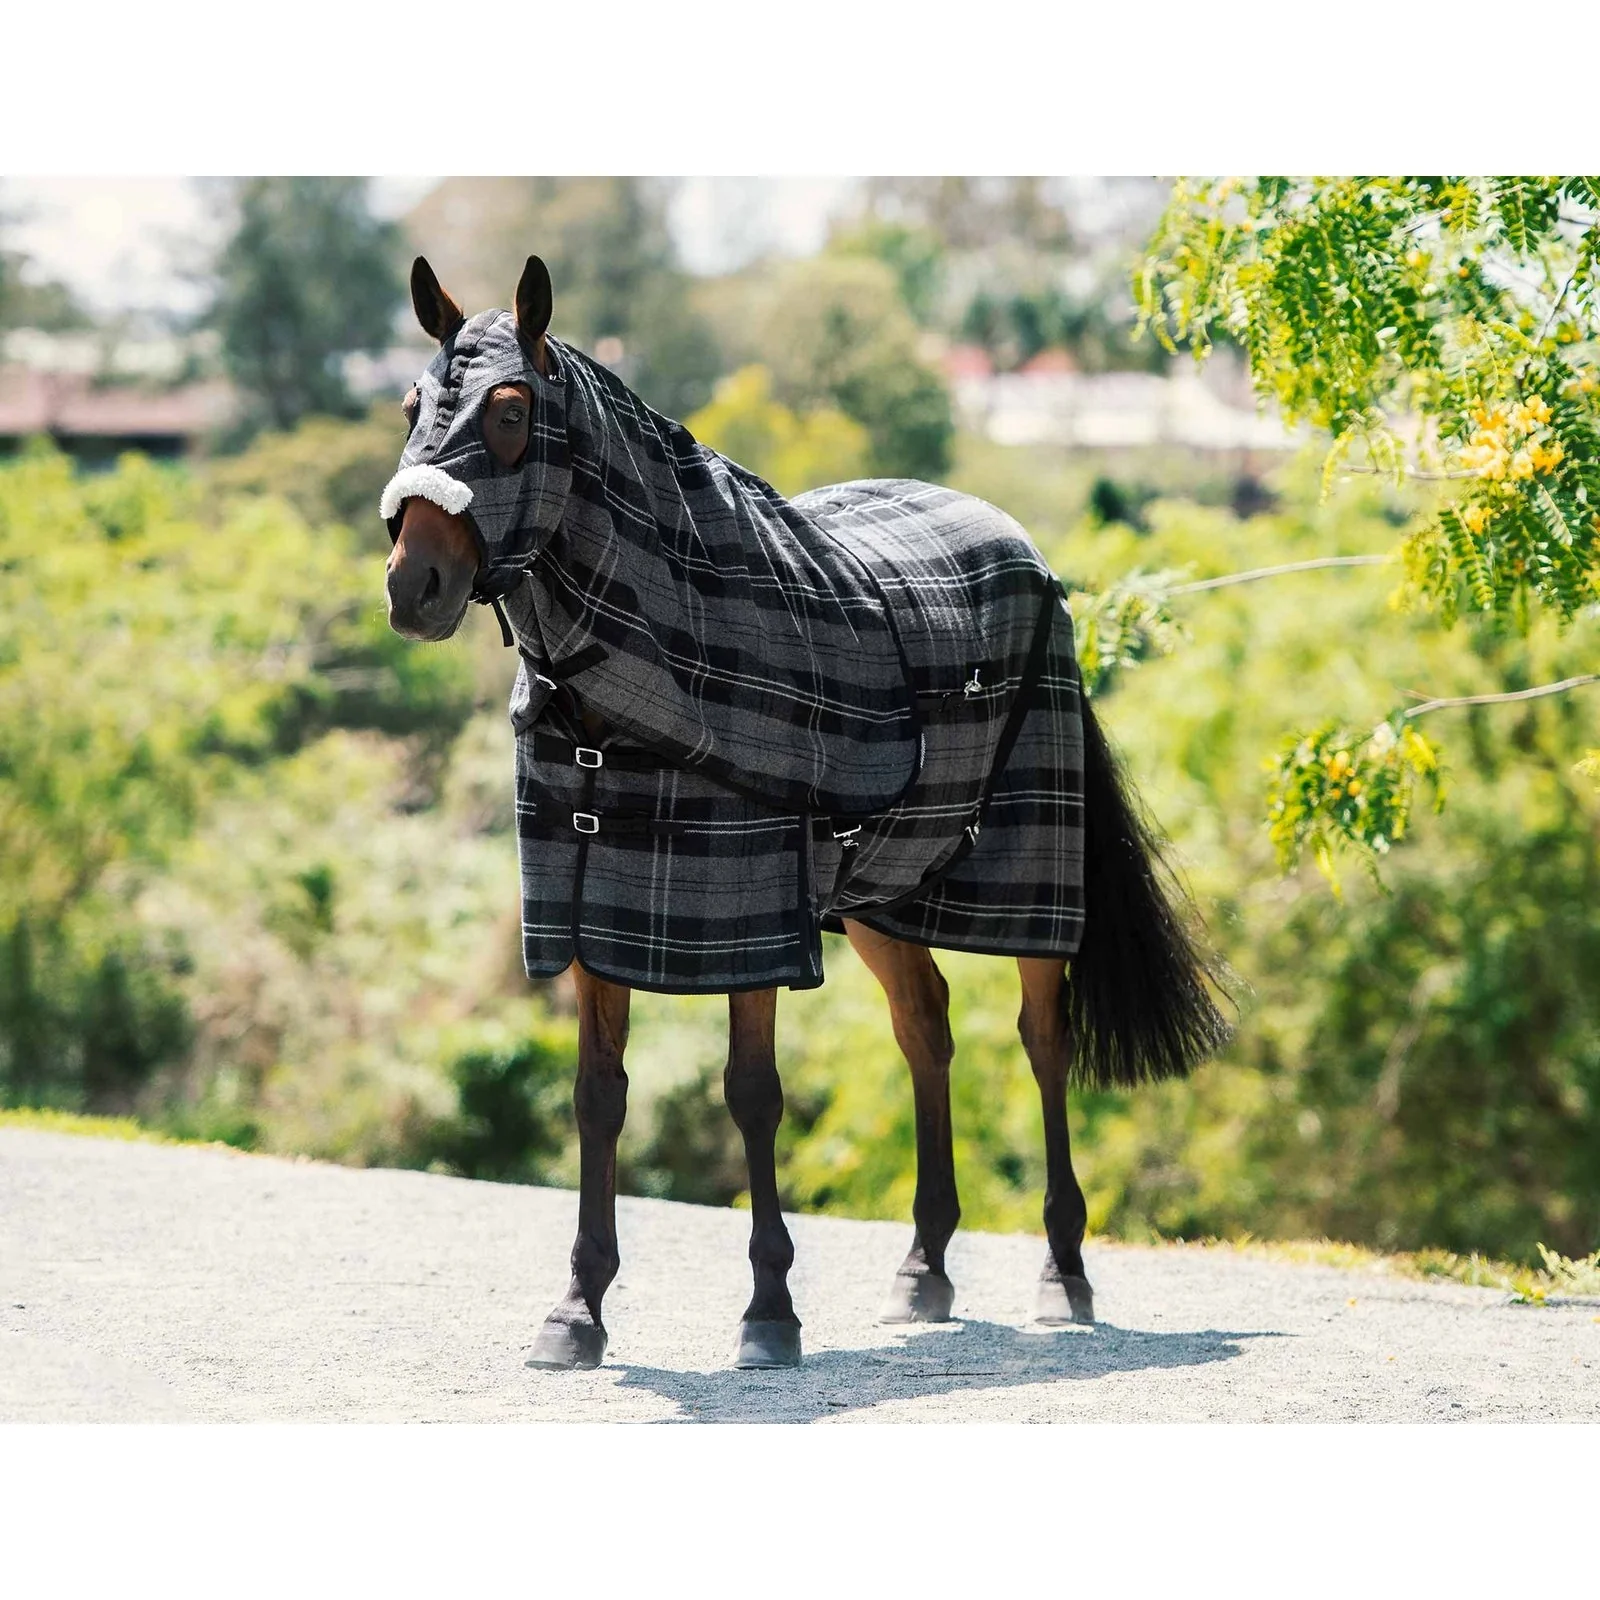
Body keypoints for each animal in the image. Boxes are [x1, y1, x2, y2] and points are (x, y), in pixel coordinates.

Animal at [381, 252, 1231, 1371]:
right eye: (411, 407)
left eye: (513, 411)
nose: (413, 586)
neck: (661, 684)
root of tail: (1029, 558)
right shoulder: (590, 916)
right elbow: (598, 1098)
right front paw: (576, 1310)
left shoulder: (756, 926)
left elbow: (753, 1094)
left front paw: (769, 1311)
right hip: (878, 899)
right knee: (926, 1030)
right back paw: (923, 1269)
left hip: (1027, 885)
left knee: (1042, 1039)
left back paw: (1064, 1272)